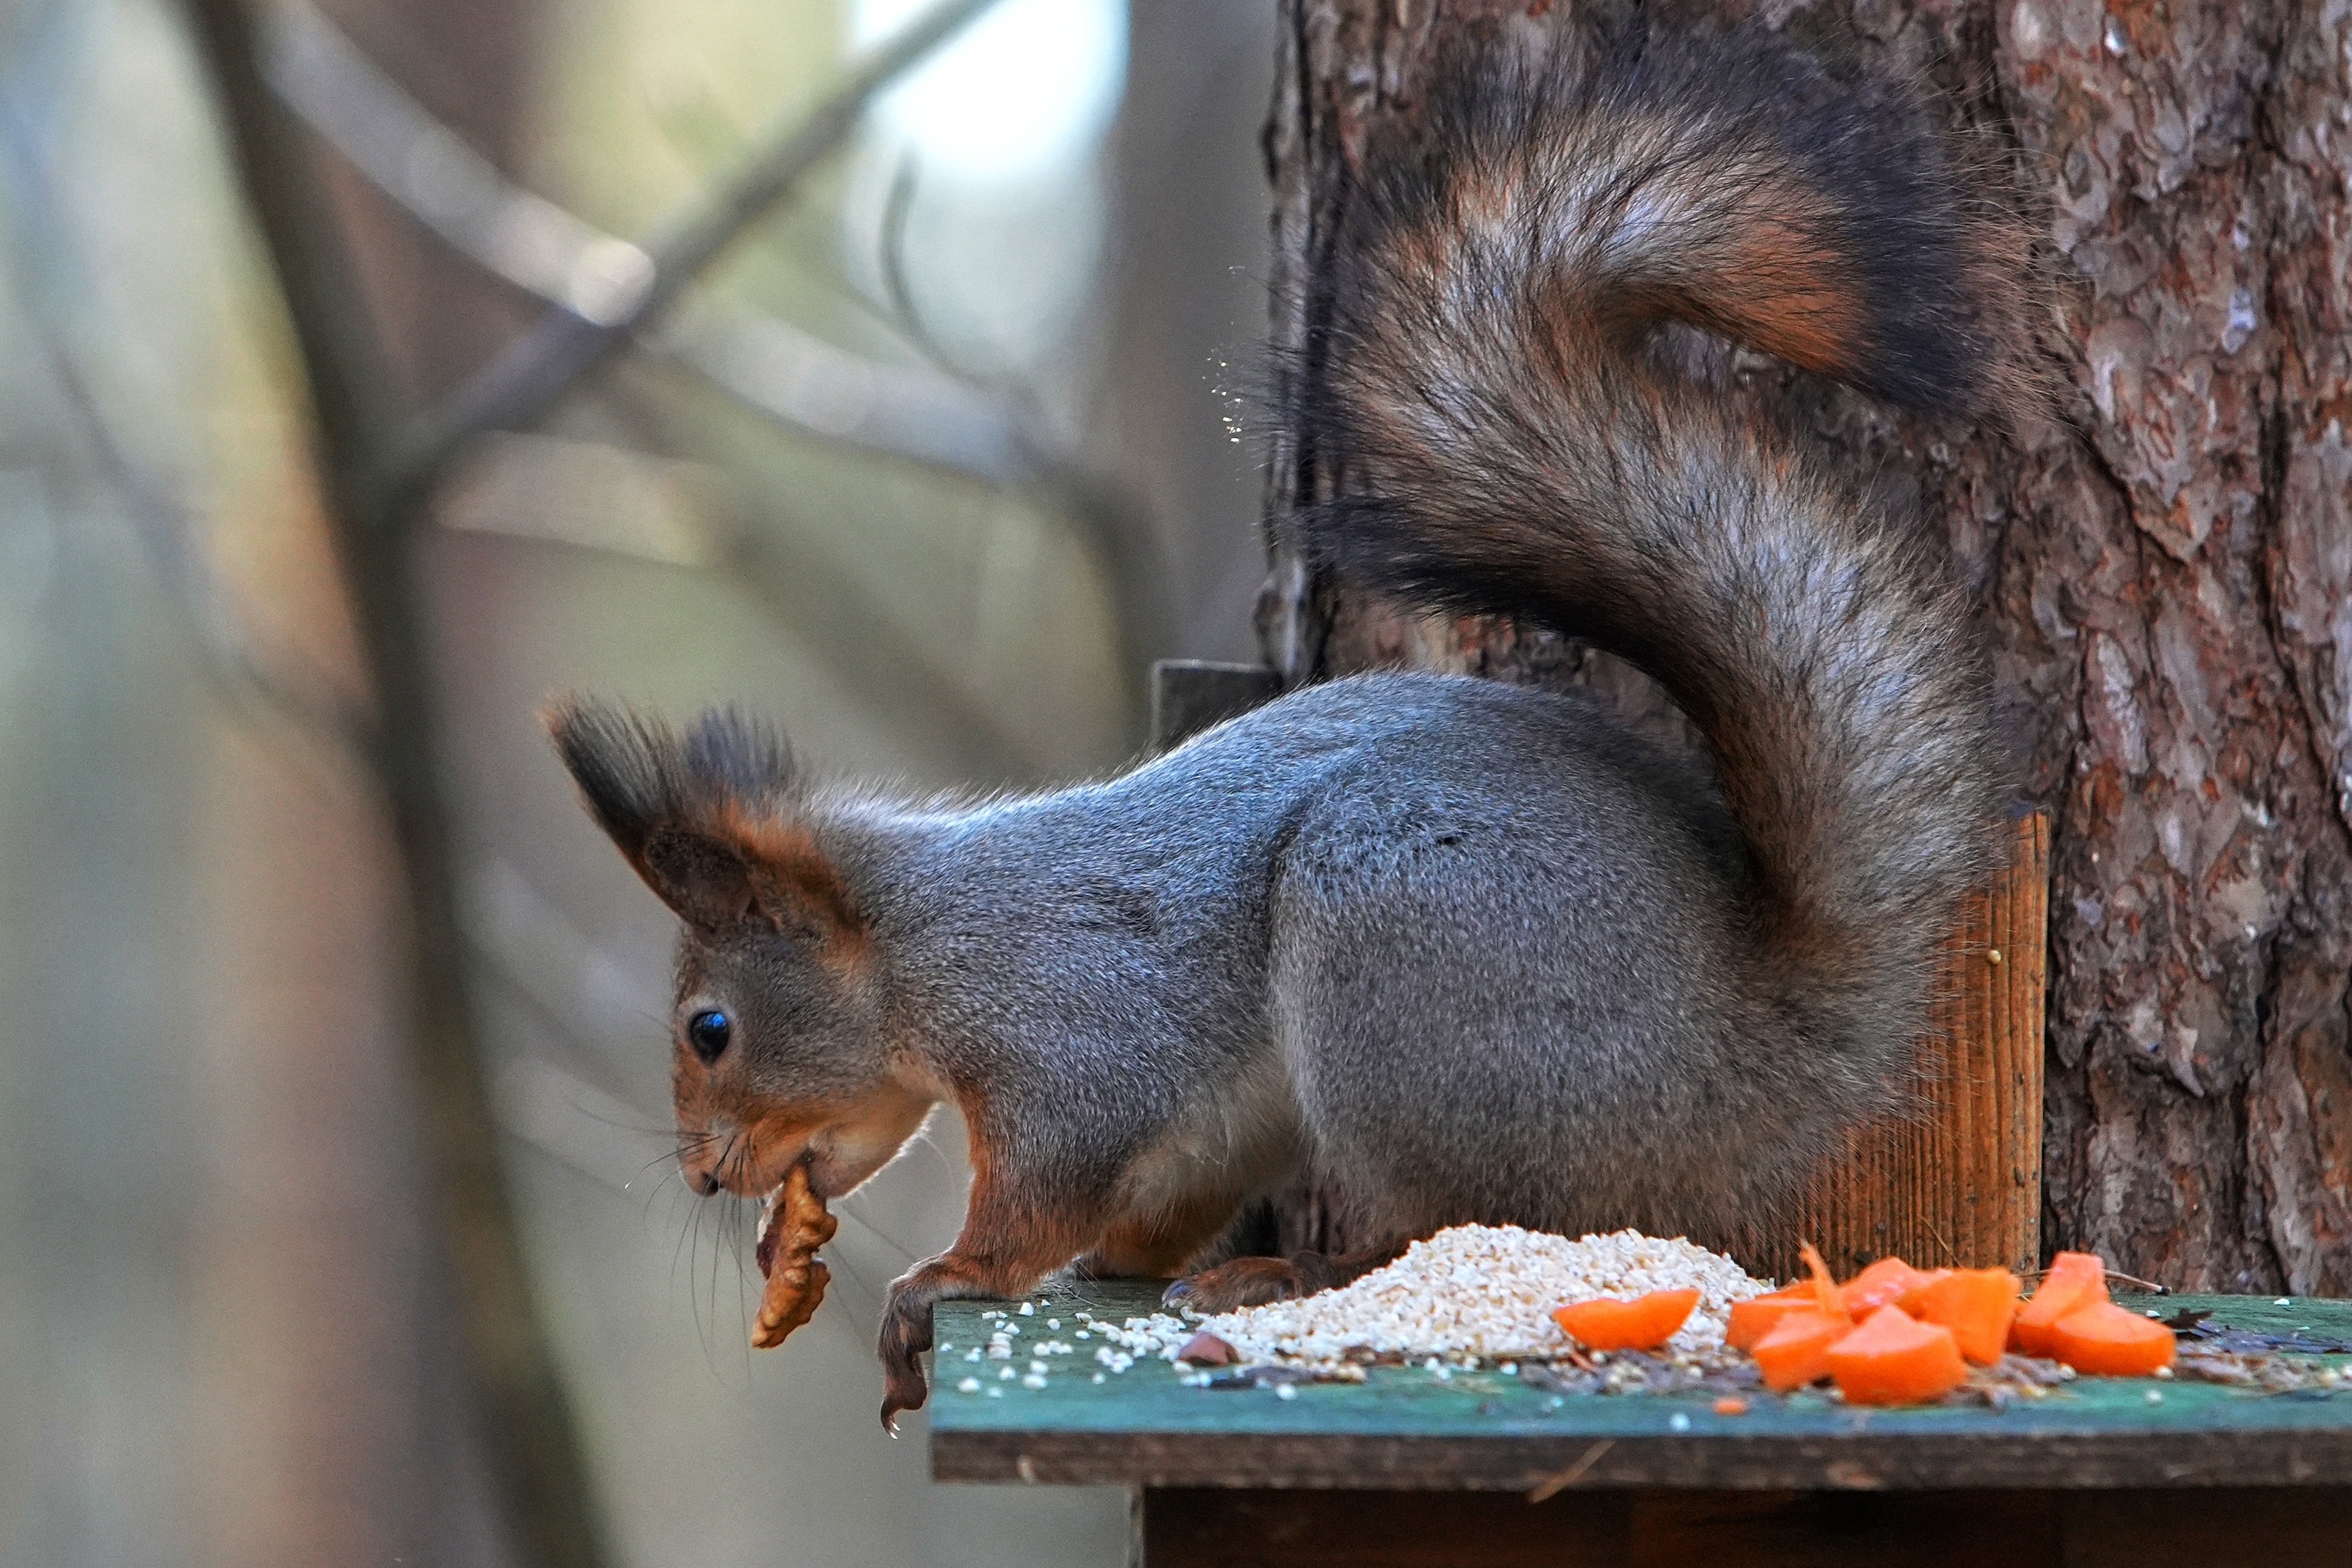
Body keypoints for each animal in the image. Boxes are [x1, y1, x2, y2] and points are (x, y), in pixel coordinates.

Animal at [545, 15, 2022, 1438]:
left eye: (711, 1030)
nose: (703, 1176)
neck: (923, 947)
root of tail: (1758, 1055)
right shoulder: (1203, 1120)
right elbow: (1160, 1195)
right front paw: (1115, 1268)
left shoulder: (1073, 1031)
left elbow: (1047, 1182)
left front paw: (951, 1278)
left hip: (1398, 942)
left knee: (1449, 1221)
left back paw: (1292, 1275)